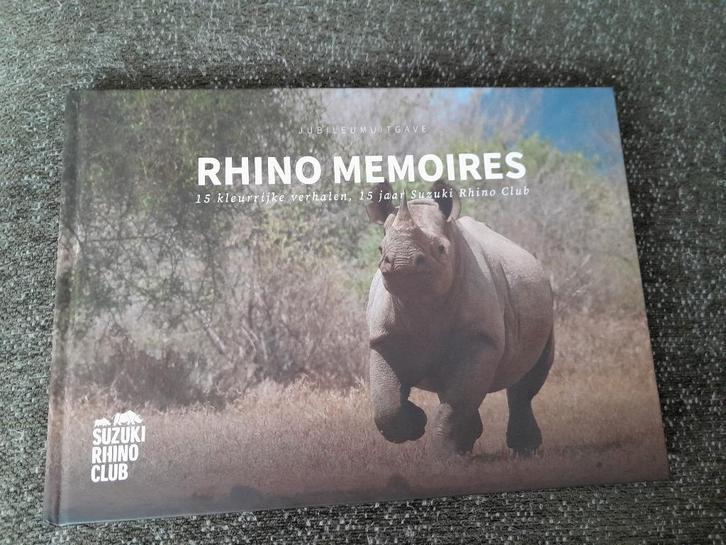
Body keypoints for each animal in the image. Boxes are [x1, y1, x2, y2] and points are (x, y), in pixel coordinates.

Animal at [366, 181, 554, 455]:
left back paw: (524, 450)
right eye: (381, 249)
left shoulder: (481, 338)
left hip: (545, 297)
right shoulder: (383, 338)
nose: (401, 262)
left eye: (441, 249)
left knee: (526, 380)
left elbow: (456, 404)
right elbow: (386, 404)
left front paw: (443, 455)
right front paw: (416, 423)